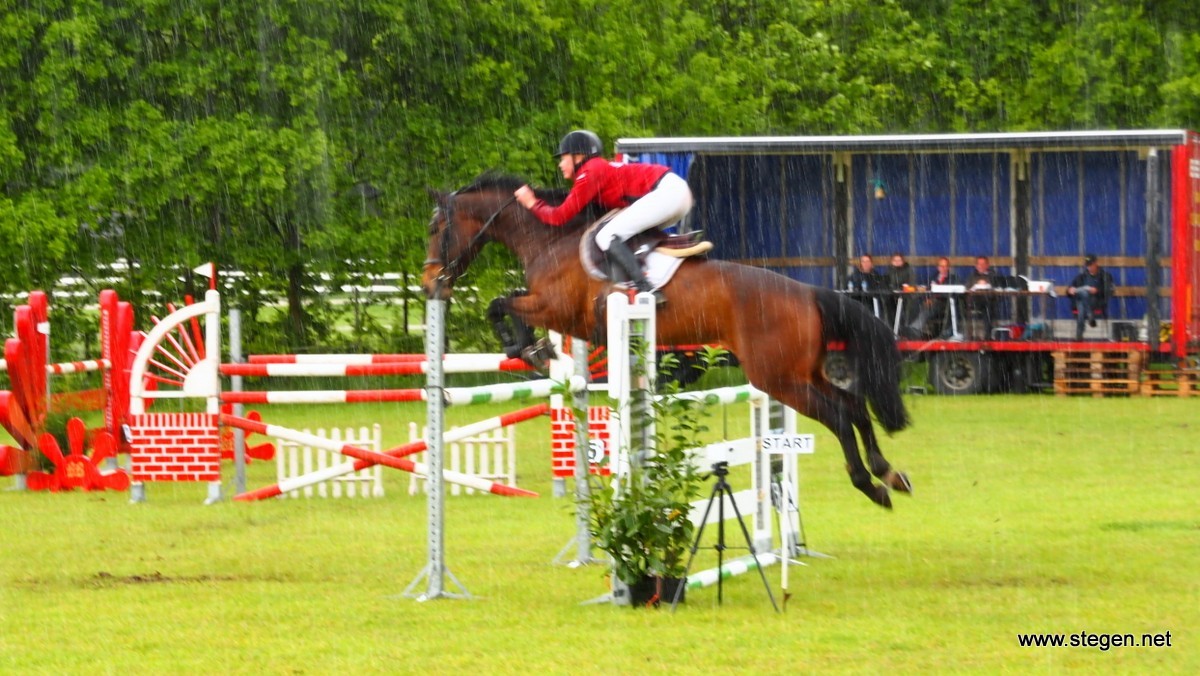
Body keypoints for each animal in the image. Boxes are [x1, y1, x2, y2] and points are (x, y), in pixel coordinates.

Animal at [422, 172, 907, 509]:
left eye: (436, 230)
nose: (430, 284)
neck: (549, 239)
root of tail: (808, 293)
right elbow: (505, 301)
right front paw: (534, 349)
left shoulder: (556, 309)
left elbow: (500, 304)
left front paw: (525, 347)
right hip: (799, 371)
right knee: (854, 408)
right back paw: (889, 473)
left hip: (777, 378)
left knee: (840, 416)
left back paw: (871, 486)